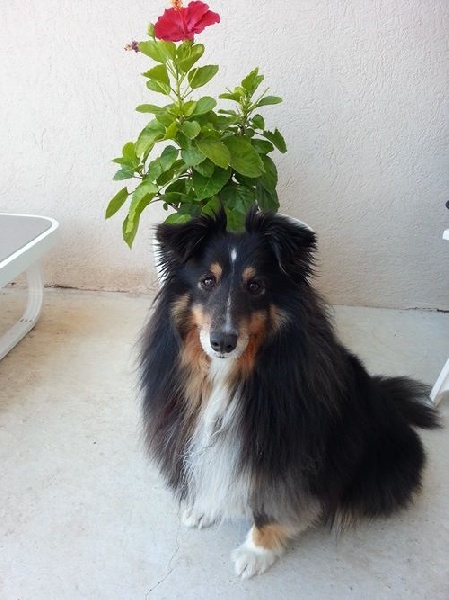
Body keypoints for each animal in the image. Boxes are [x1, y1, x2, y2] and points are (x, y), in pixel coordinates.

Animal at [139, 210, 438, 576]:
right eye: (207, 281)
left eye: (256, 286)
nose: (222, 342)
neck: (229, 375)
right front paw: (205, 507)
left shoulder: (286, 450)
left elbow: (270, 502)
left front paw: (255, 552)